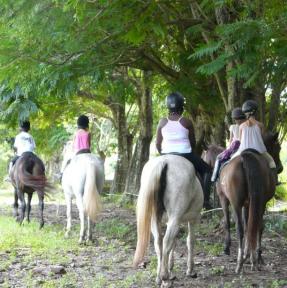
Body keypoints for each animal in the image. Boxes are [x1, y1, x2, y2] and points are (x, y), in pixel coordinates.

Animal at [134, 156, 204, 286]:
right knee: (166, 242)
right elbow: (190, 241)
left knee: (159, 242)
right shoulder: (193, 219)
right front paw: (190, 270)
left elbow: (174, 243)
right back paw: (165, 277)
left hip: (156, 219)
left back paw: (159, 277)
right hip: (175, 218)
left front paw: (171, 269)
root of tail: (164, 162)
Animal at [209, 132, 284, 274]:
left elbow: (228, 223)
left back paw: (240, 263)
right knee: (257, 226)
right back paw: (255, 259)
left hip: (236, 203)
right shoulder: (249, 203)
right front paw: (249, 254)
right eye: (278, 148)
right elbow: (250, 224)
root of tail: (245, 158)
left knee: (240, 228)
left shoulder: (224, 198)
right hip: (259, 202)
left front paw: (228, 248)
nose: (281, 168)